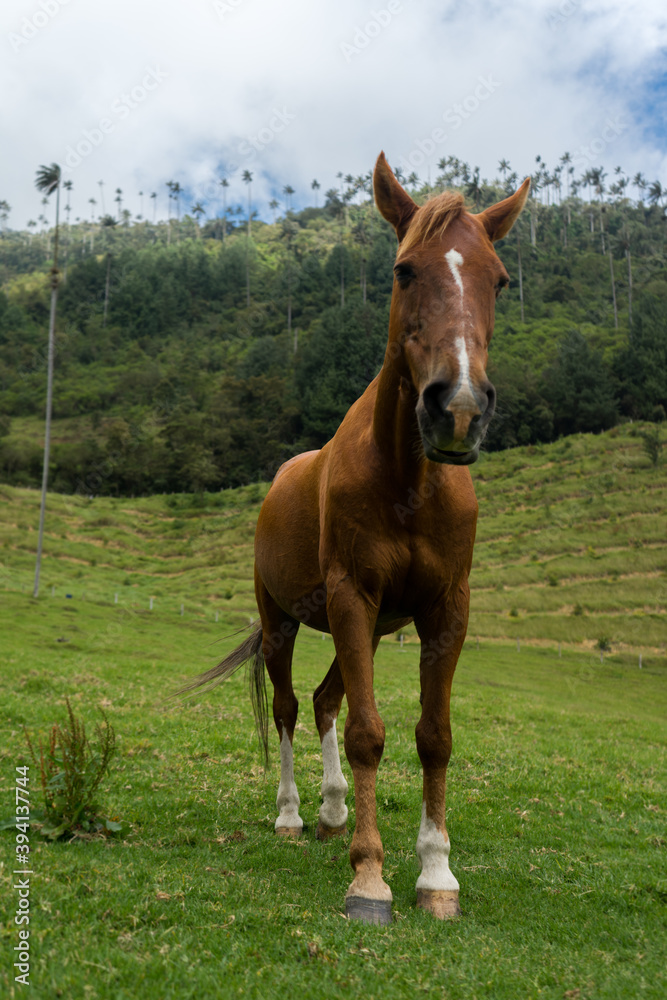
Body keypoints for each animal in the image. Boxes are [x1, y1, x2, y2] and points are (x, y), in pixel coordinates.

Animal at [185, 153, 529, 925]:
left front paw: (435, 872)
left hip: (365, 630)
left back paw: (334, 811)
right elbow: (371, 732)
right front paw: (369, 878)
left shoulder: (444, 610)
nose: (458, 408)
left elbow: (433, 735)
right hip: (283, 621)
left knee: (323, 702)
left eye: (498, 278)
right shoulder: (350, 597)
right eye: (404, 270)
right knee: (289, 707)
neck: (407, 480)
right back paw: (292, 814)